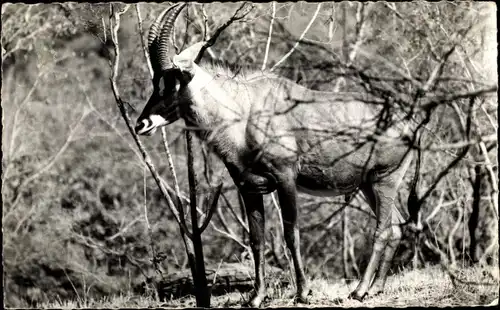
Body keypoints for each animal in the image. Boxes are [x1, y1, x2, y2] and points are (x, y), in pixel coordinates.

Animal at [136, 3, 422, 308]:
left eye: (172, 83)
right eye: (155, 82)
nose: (141, 124)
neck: (244, 110)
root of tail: (410, 122)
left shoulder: (285, 178)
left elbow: (291, 233)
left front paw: (303, 292)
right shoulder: (249, 187)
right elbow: (256, 239)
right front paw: (256, 296)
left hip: (384, 180)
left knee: (382, 230)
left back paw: (359, 290)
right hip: (369, 186)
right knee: (395, 228)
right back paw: (376, 288)